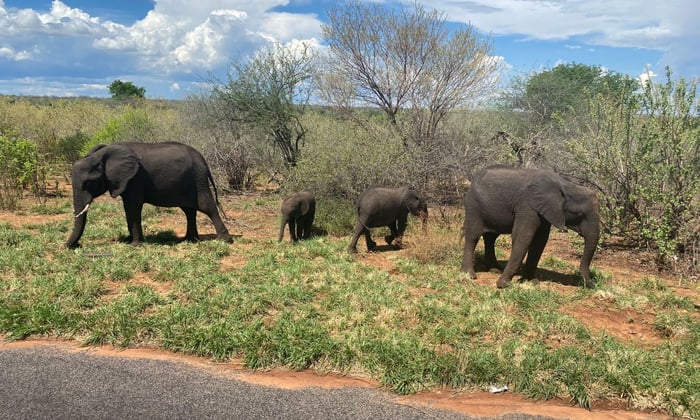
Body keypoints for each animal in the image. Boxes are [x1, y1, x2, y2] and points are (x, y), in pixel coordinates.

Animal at [66, 141, 232, 248]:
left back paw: (224, 240)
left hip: (198, 180)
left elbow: (133, 207)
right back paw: (190, 240)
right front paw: (128, 240)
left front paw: (135, 244)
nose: (75, 246)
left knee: (207, 206)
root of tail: (204, 160)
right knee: (189, 211)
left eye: (88, 183)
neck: (101, 155)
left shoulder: (135, 179)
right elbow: (128, 209)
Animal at [460, 165, 600, 288]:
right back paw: (469, 275)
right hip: (473, 206)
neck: (565, 184)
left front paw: (531, 282)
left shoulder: (544, 210)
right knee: (473, 236)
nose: (593, 285)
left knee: (490, 238)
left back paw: (495, 270)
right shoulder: (527, 206)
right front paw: (502, 284)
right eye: (579, 214)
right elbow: (523, 237)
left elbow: (540, 241)